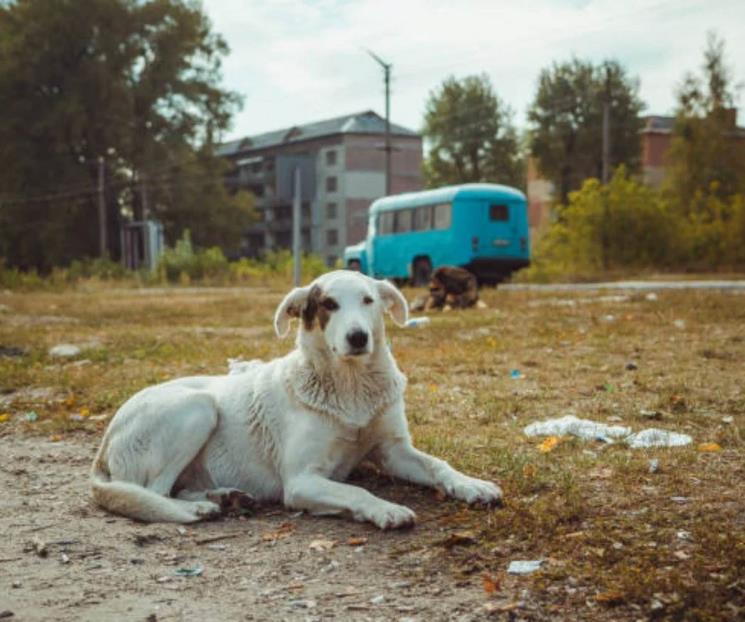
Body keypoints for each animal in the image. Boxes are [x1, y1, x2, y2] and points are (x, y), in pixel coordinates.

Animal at [90, 270, 502, 528]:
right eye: (329, 304)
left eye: (368, 300)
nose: (358, 337)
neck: (350, 387)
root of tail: (106, 440)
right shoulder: (302, 480)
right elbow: (356, 489)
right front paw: (385, 509)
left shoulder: (393, 450)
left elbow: (438, 465)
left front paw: (472, 485)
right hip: (198, 408)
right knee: (154, 491)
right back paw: (202, 508)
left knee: (177, 487)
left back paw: (225, 497)